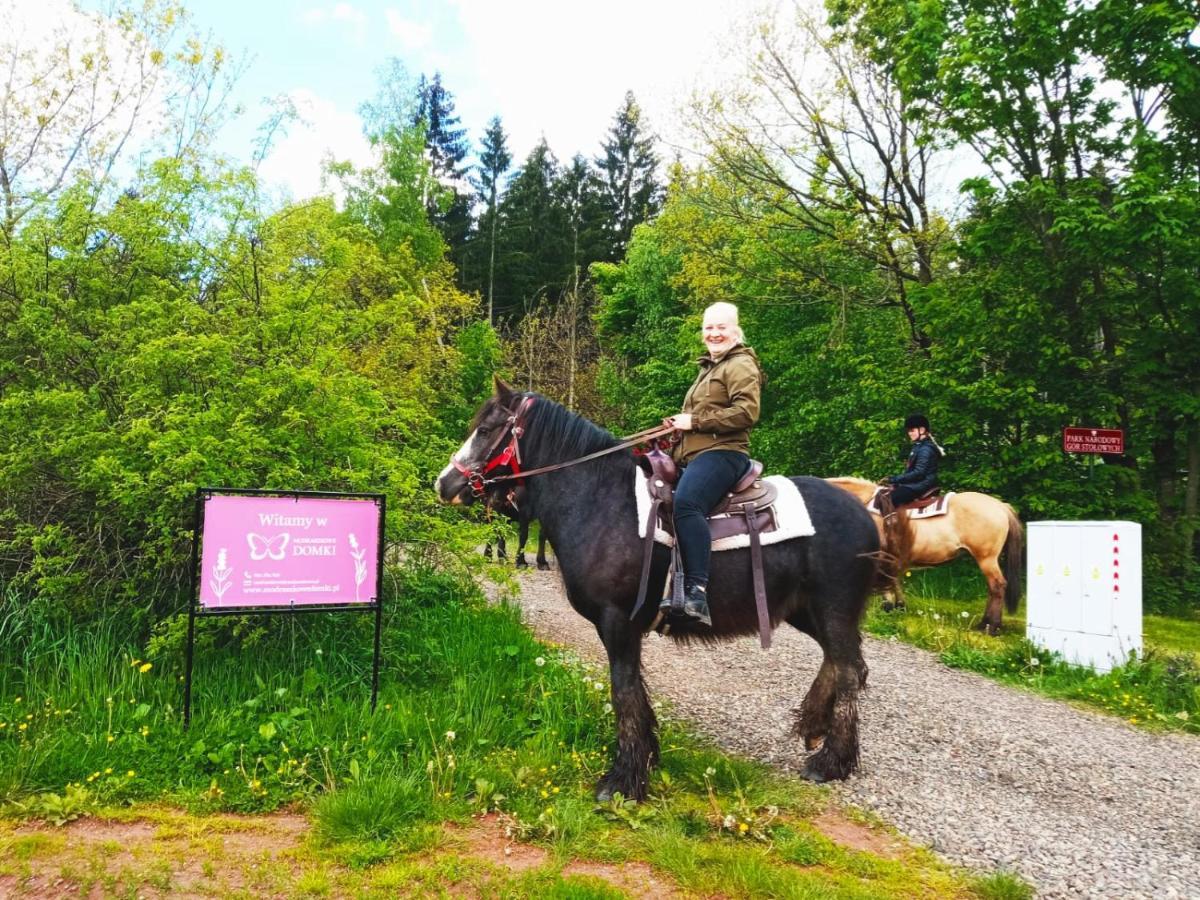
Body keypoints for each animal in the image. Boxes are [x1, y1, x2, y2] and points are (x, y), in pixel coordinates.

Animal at [436, 384, 902, 801]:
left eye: (486, 429)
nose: (445, 484)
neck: (603, 502)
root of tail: (867, 515)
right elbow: (637, 691)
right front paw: (646, 760)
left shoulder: (618, 621)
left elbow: (623, 690)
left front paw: (622, 781)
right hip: (806, 611)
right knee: (841, 664)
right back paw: (813, 727)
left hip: (833, 608)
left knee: (849, 670)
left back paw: (831, 761)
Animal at [825, 480, 1032, 633]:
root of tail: (1000, 506)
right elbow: (894, 579)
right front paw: (898, 606)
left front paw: (889, 606)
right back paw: (986, 623)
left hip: (986, 558)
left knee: (997, 586)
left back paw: (991, 626)